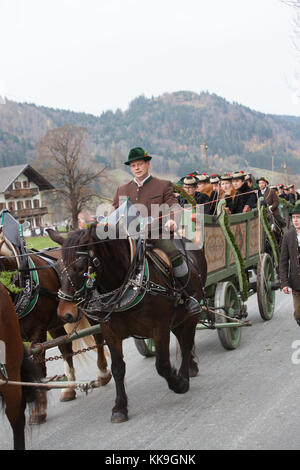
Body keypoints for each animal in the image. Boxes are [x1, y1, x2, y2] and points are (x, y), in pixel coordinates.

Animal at [0, 242, 111, 426]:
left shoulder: (37, 332)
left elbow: (39, 367)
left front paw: (39, 411)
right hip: (56, 324)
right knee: (66, 349)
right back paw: (69, 388)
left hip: (90, 309)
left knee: (98, 337)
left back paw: (103, 373)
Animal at [48, 226, 207, 424]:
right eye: (57, 269)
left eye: (79, 268)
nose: (64, 313)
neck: (130, 283)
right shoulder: (111, 333)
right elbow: (117, 369)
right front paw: (120, 407)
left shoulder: (160, 329)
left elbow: (162, 365)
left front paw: (178, 383)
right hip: (178, 321)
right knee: (183, 341)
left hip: (190, 317)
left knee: (186, 345)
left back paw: (185, 374)